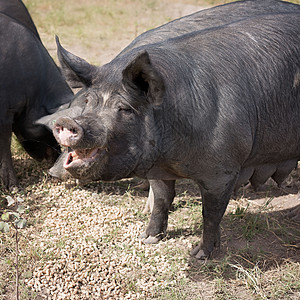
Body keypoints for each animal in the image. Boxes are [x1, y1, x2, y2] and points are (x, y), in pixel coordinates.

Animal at [39, 11, 300, 258]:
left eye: (124, 109)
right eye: (88, 102)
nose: (67, 122)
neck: (172, 156)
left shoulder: (223, 170)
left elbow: (211, 212)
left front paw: (200, 254)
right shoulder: (156, 167)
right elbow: (163, 199)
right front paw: (148, 239)